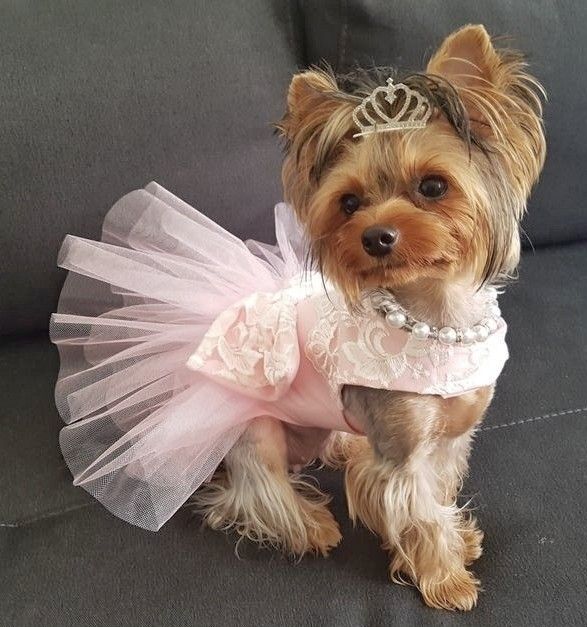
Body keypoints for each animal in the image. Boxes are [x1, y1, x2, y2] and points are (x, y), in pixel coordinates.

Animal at [194, 25, 548, 612]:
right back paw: (311, 526)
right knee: (253, 491)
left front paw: (460, 541)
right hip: (252, 431)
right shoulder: (401, 456)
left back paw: (340, 449)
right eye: (349, 203)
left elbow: (440, 492)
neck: (437, 318)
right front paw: (445, 578)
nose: (375, 236)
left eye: (433, 186)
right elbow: (421, 513)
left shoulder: (450, 438)